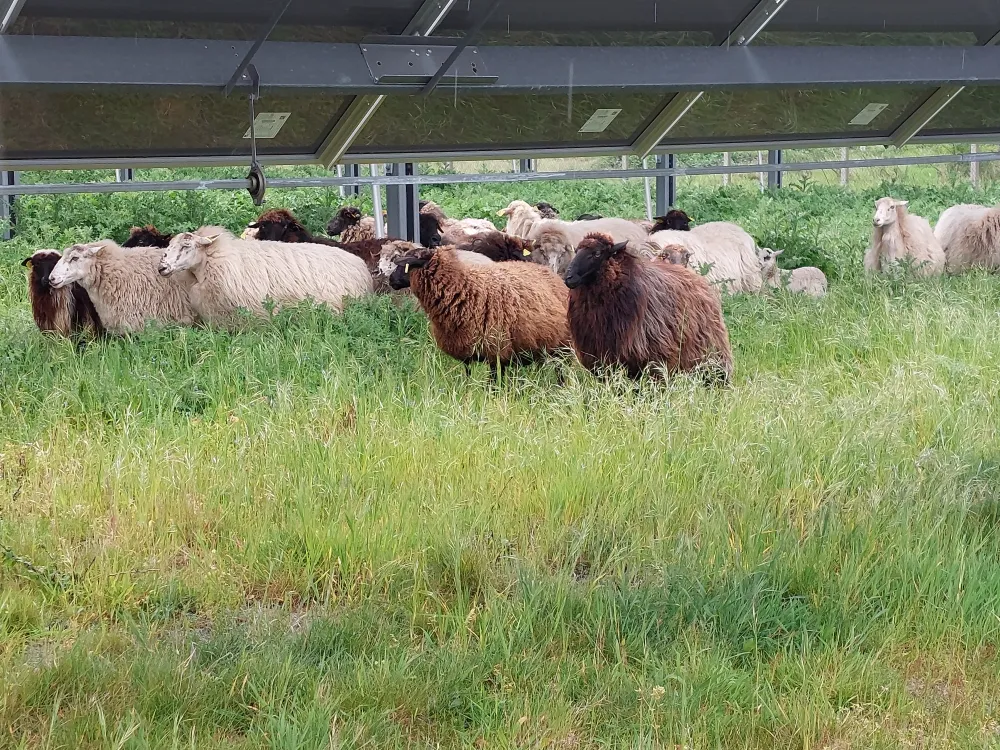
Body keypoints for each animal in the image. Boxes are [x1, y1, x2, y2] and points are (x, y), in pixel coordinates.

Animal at [388, 246, 570, 370]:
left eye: (406, 264)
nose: (390, 279)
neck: (465, 290)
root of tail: (551, 272)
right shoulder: (466, 351)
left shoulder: (496, 353)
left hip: (562, 346)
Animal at [563, 233, 733, 383]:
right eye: (576, 251)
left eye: (597, 253)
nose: (568, 277)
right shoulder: (602, 357)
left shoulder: (654, 356)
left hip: (711, 352)